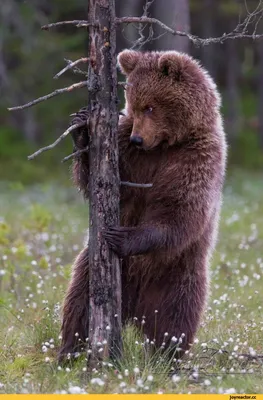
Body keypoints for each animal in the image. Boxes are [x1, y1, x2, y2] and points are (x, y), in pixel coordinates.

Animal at [58, 49, 228, 360]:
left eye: (150, 106)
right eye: (133, 105)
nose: (138, 138)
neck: (166, 144)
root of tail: (135, 309)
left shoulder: (198, 158)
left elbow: (180, 210)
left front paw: (122, 237)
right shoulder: (129, 153)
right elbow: (102, 183)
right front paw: (82, 129)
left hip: (177, 274)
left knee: (175, 321)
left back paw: (167, 358)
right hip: (96, 268)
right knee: (79, 303)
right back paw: (68, 353)